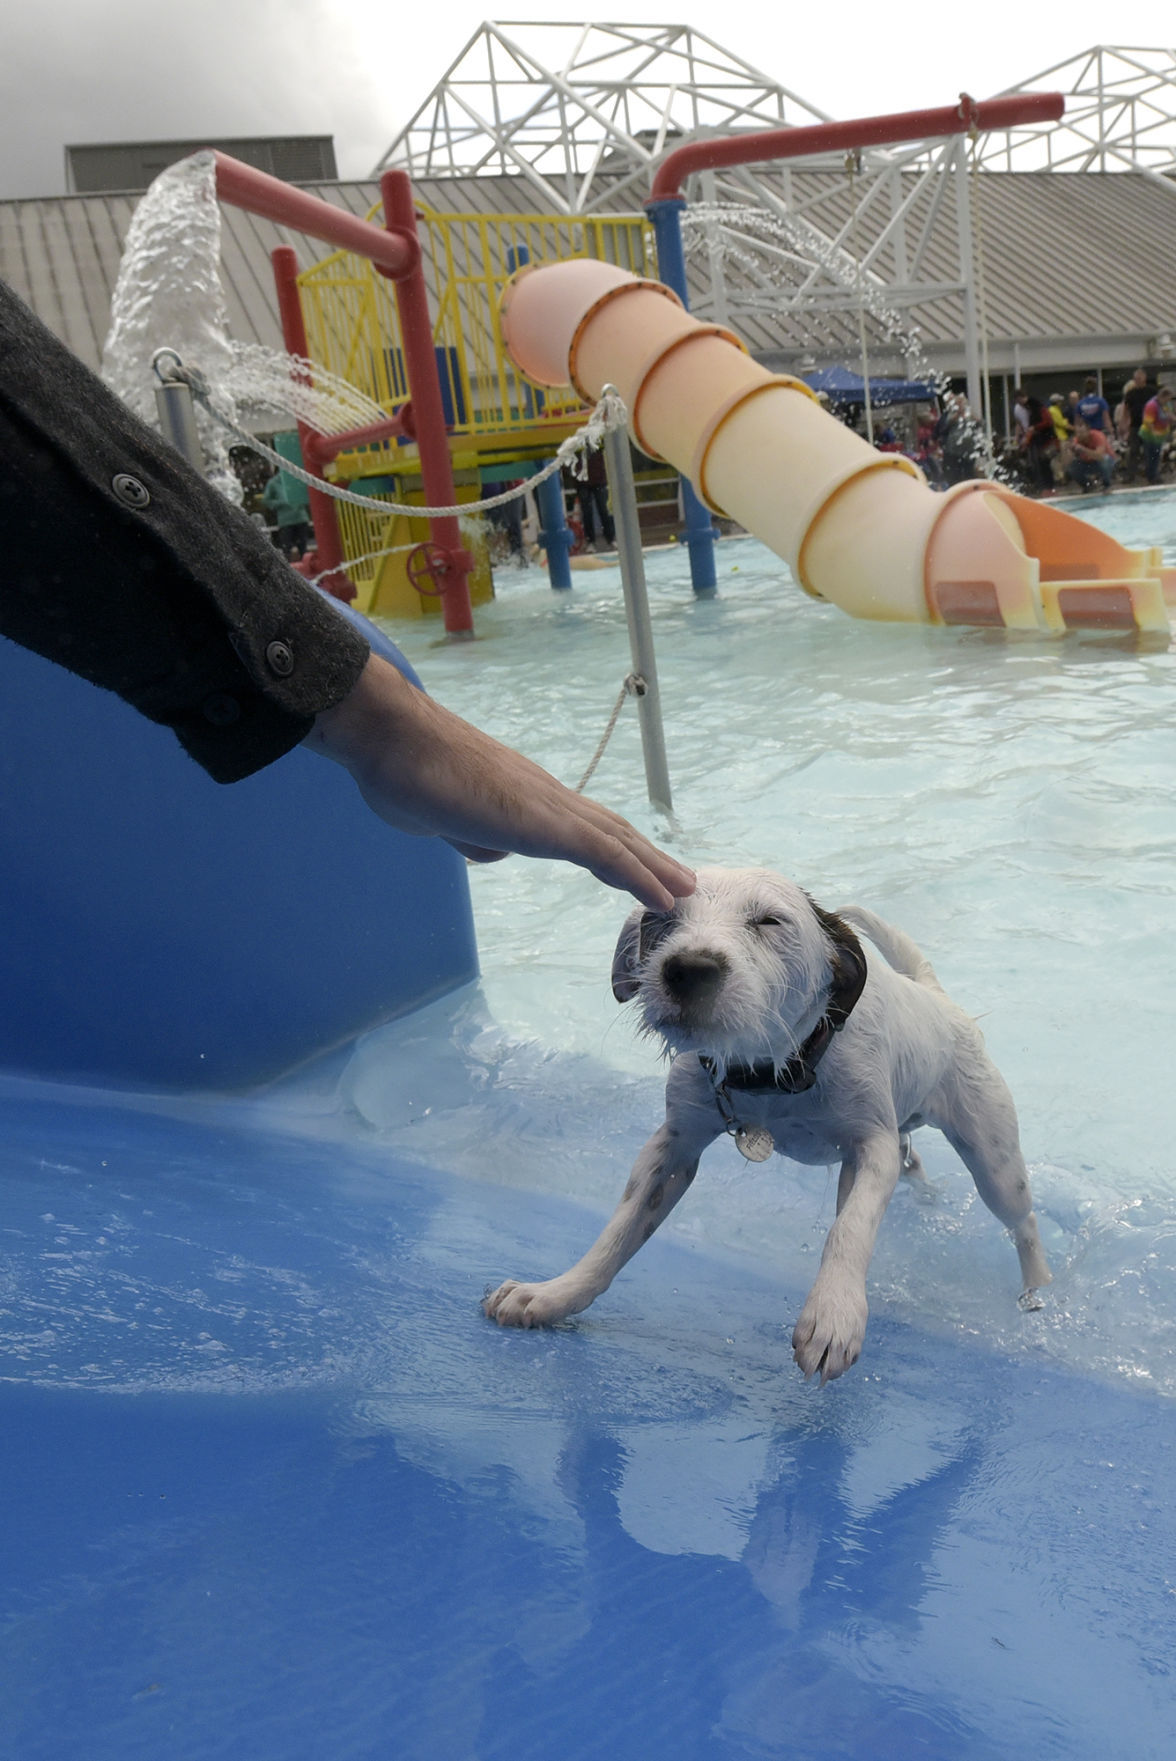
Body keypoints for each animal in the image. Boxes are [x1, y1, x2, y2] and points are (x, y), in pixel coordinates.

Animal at [482, 873, 1049, 1380]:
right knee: (916, 1163)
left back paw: (1037, 1293)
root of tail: (935, 997)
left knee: (1023, 1222)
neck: (770, 1073)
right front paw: (553, 1295)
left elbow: (849, 1228)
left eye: (770, 920)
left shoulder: (871, 1149)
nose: (686, 968)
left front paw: (833, 1315)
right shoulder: (672, 1150)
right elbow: (616, 1235)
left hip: (993, 1163)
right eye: (659, 918)